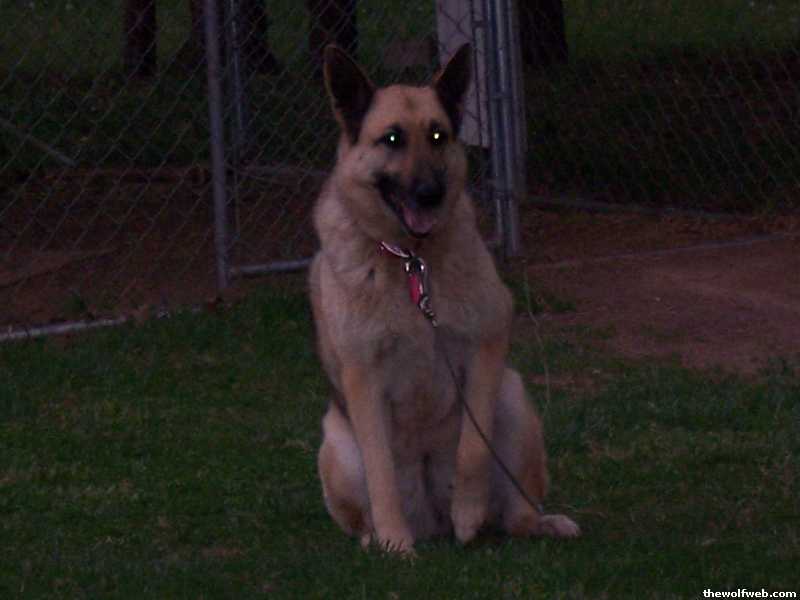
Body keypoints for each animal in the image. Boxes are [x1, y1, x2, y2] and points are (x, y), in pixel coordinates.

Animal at [309, 43, 579, 554]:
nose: (430, 194)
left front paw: (468, 513)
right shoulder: (362, 377)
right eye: (392, 139)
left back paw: (536, 522)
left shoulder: (489, 339)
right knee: (366, 507)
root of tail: (430, 516)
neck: (410, 261)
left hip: (513, 397)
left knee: (517, 512)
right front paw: (396, 543)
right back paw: (378, 538)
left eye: (438, 135)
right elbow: (380, 470)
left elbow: (473, 448)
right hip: (335, 442)